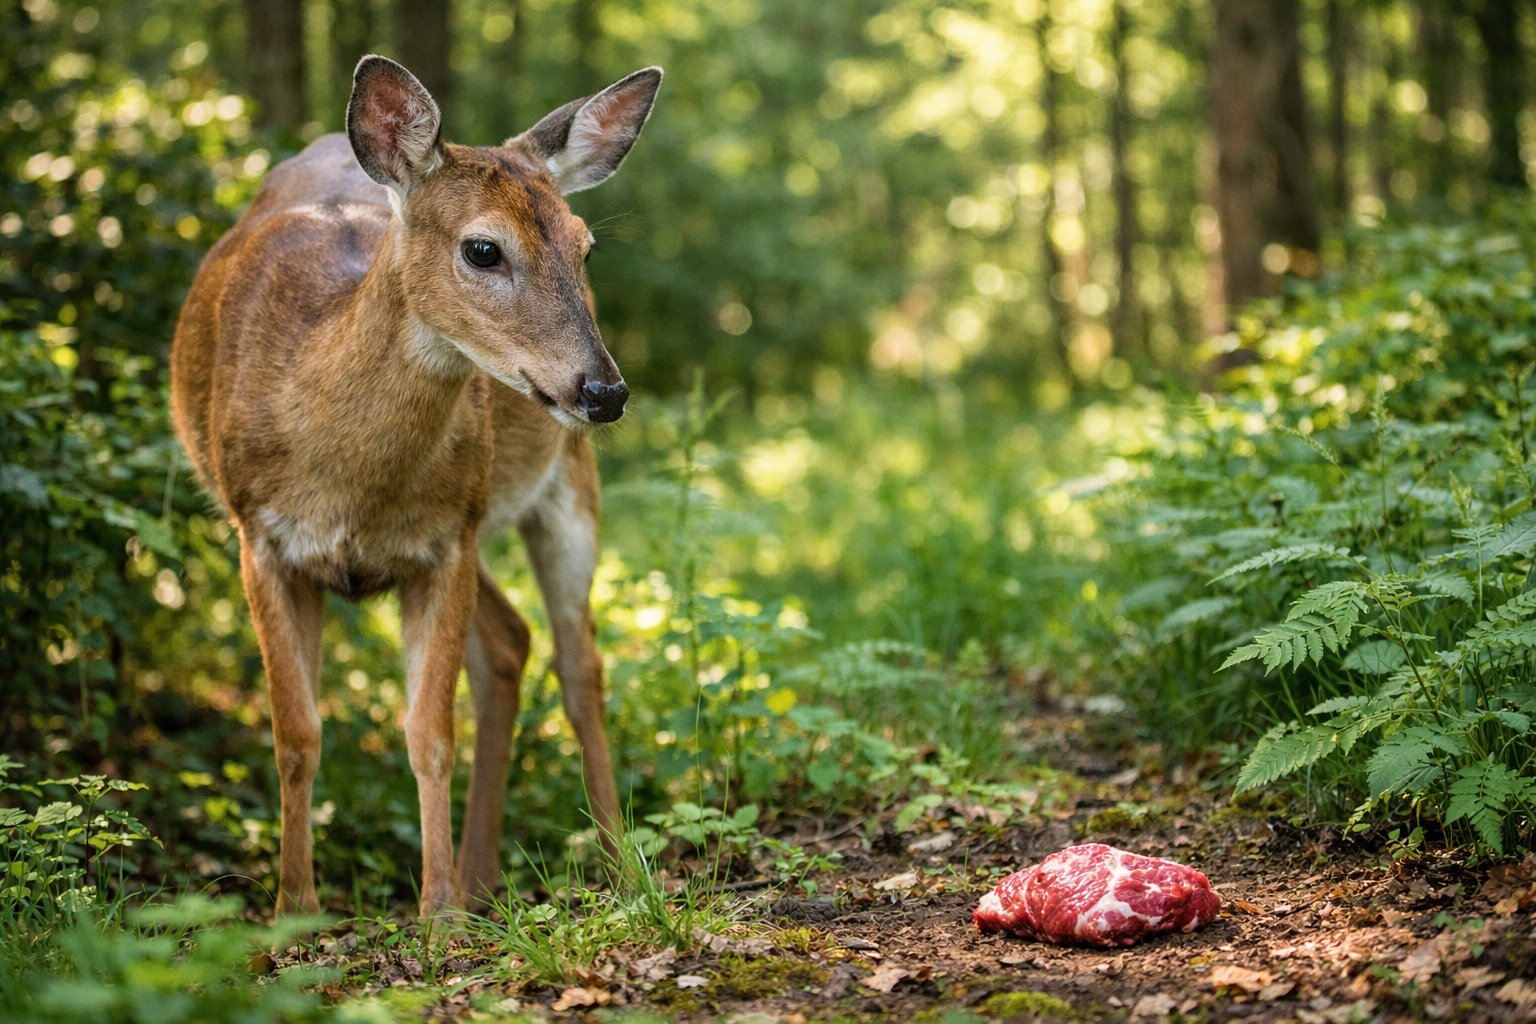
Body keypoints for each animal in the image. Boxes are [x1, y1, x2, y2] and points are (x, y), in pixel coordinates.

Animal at [169, 55, 662, 918]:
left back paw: (614, 870)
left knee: (578, 665)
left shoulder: (446, 543)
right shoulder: (259, 537)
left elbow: (429, 733)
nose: (605, 392)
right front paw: (293, 912)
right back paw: (484, 875)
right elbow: (296, 734)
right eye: (484, 249)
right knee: (512, 641)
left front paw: (438, 916)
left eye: (586, 247)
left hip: (560, 488)